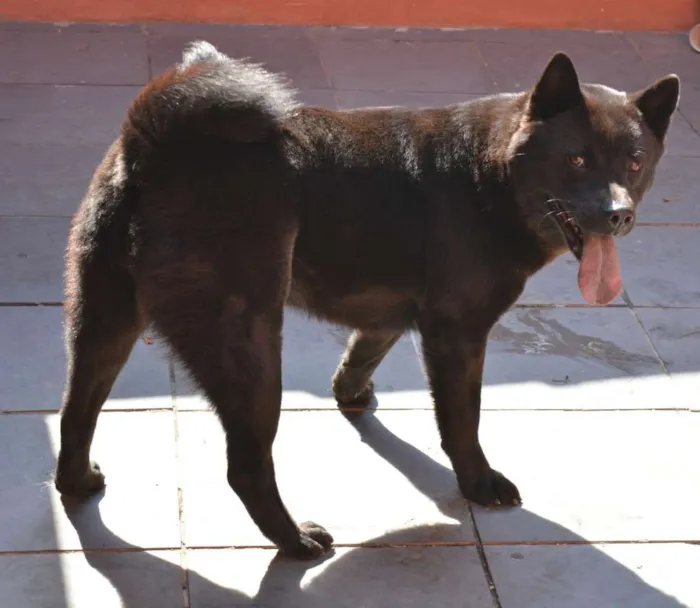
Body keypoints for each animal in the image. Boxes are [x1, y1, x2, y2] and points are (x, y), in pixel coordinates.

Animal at [53, 40, 680, 560]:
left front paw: (351, 395)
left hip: (103, 322)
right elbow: (463, 419)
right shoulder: (458, 333)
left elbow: (362, 354)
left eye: (634, 162)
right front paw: (479, 483)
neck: (492, 171)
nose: (619, 214)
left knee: (75, 413)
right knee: (247, 468)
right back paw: (296, 541)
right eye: (577, 159)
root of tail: (152, 142)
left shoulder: (390, 316)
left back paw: (77, 482)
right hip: (249, 351)